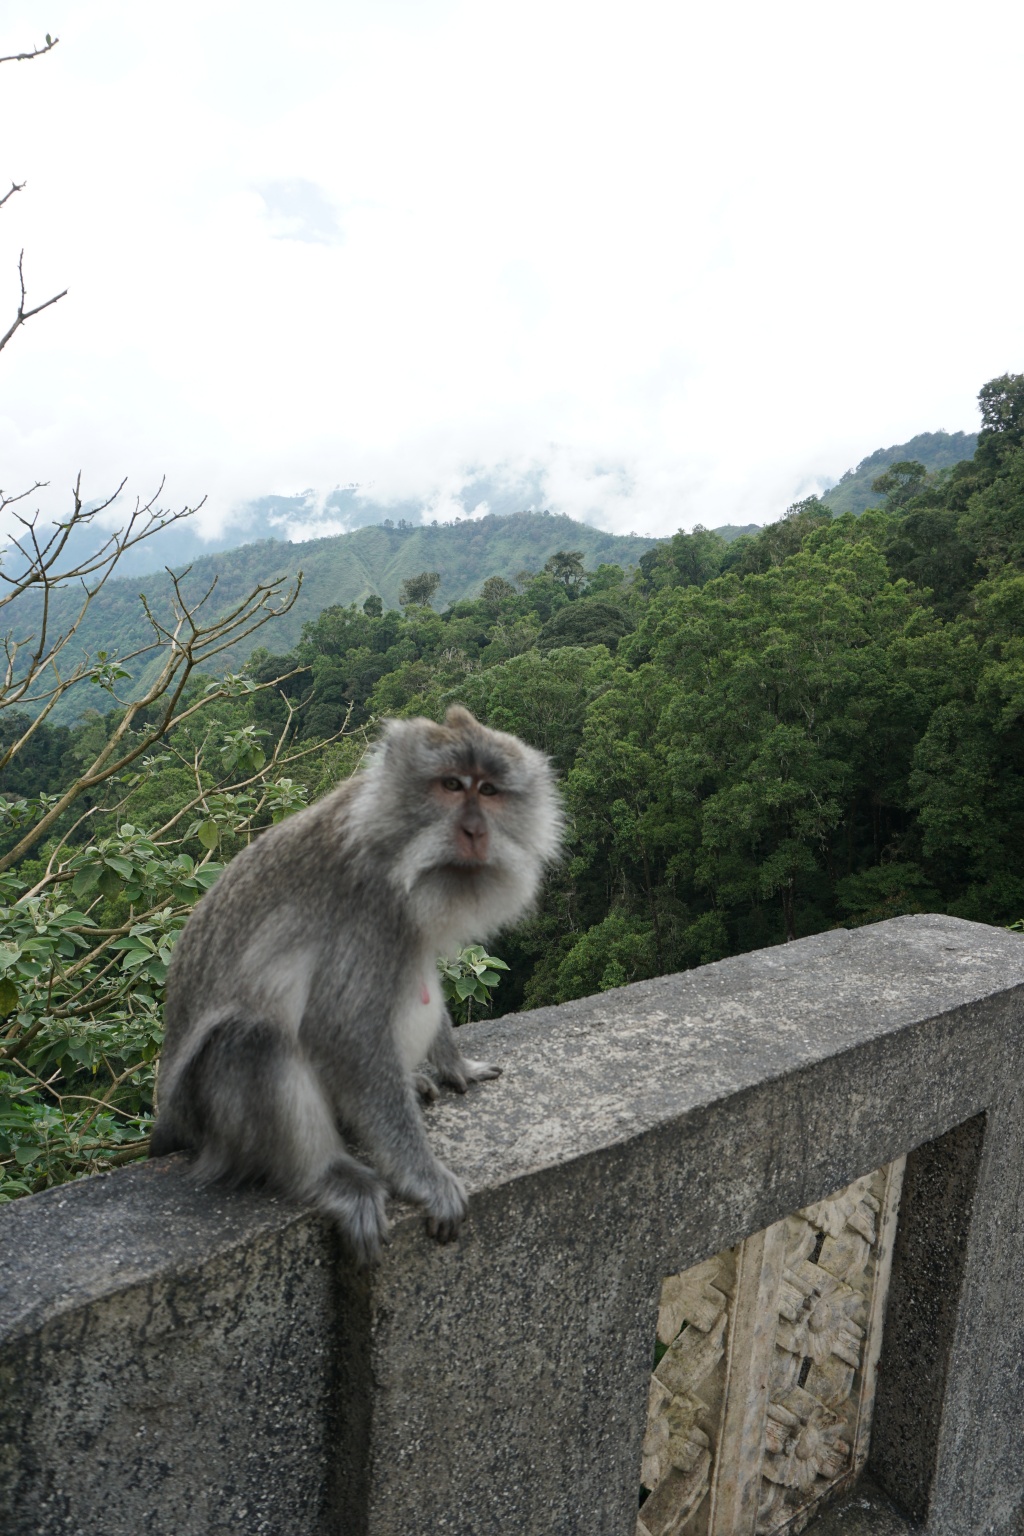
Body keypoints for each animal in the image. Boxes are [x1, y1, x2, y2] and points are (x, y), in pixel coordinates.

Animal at [149, 705, 562, 1265]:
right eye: (452, 785)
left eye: (491, 790)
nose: (476, 831)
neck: (392, 842)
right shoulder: (369, 909)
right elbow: (344, 1032)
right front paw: (424, 1178)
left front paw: (454, 1063)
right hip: (212, 1126)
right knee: (252, 1041)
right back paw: (330, 1178)